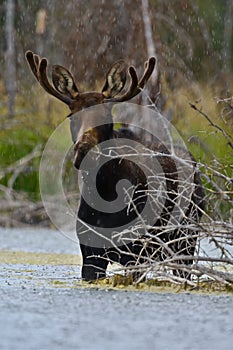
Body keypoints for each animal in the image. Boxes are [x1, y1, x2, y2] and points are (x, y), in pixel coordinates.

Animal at [24, 50, 205, 280]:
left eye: (106, 116)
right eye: (71, 116)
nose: (85, 150)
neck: (106, 194)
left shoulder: (136, 254)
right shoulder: (91, 255)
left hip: (186, 239)